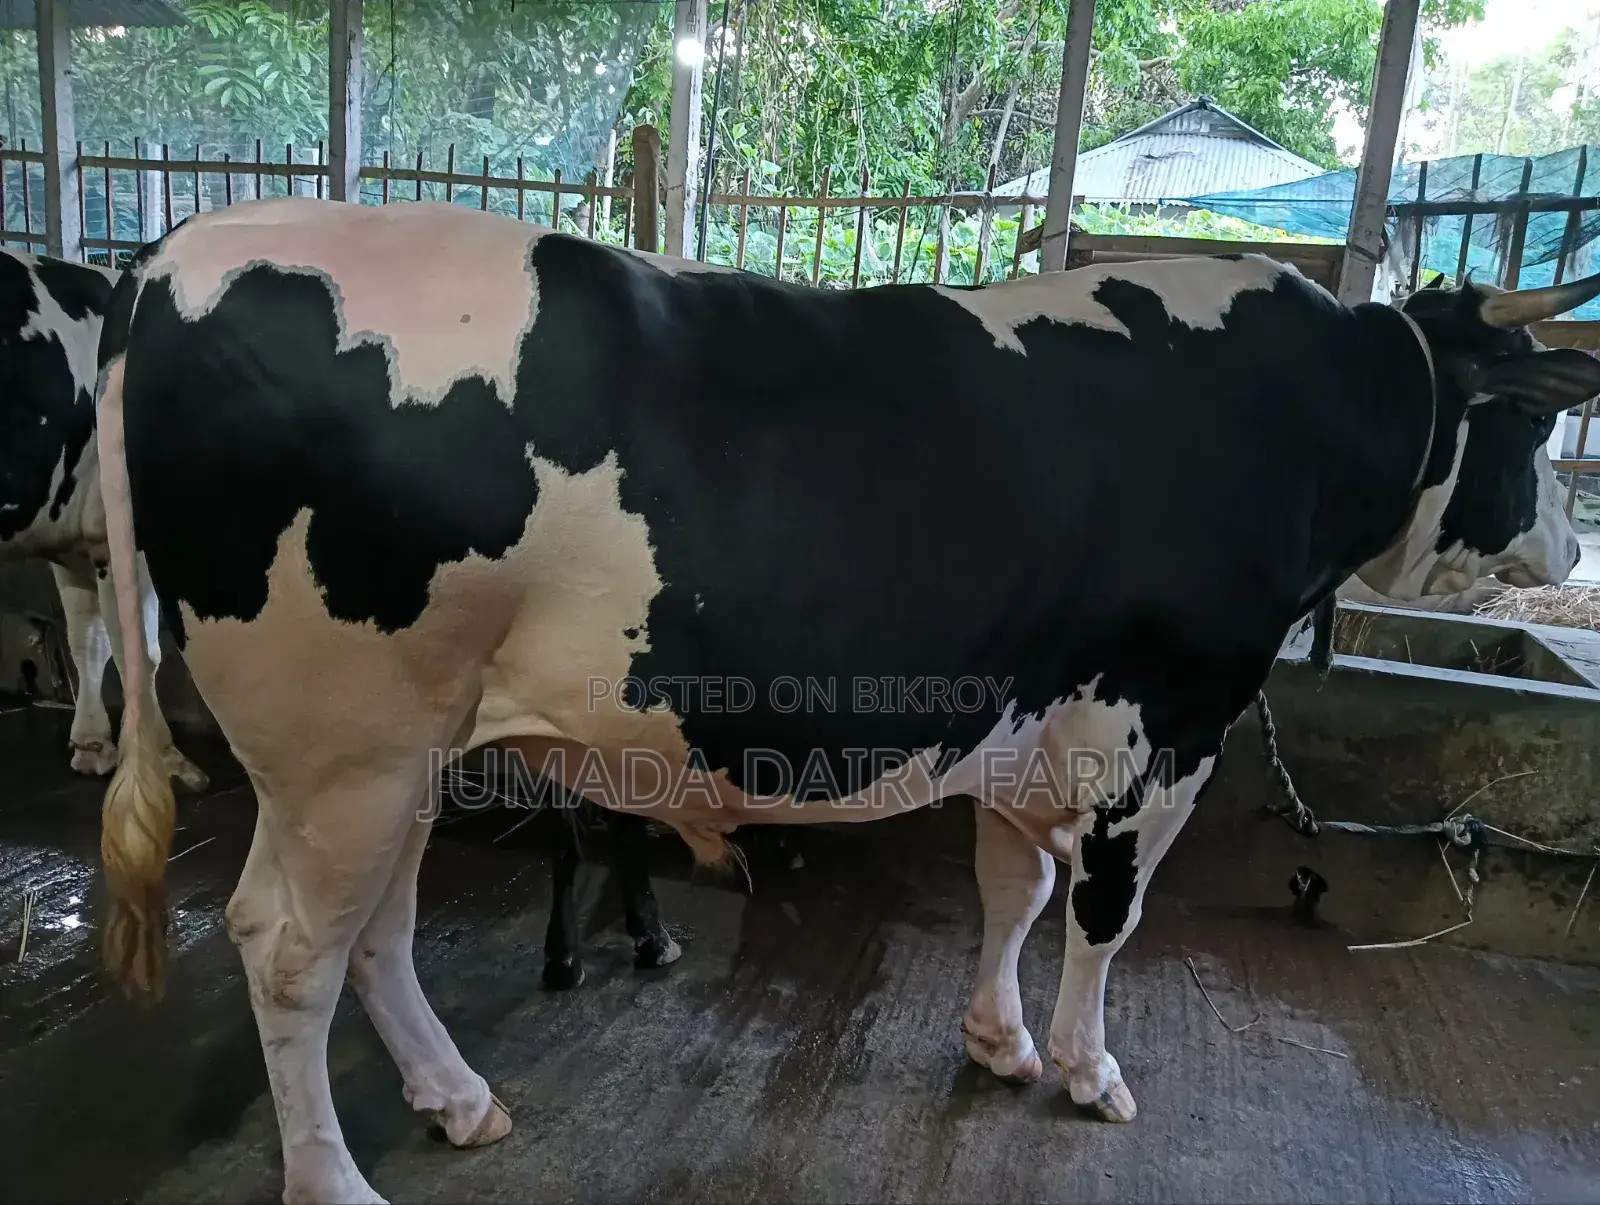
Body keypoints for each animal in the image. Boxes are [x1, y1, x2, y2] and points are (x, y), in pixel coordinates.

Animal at [0, 246, 206, 791]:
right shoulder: (128, 539)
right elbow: (140, 650)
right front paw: (163, 757)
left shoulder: (75, 536)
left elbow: (87, 641)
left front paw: (93, 743)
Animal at [90, 197, 1598, 1204]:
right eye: (1534, 423)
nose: (1570, 543)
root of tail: (176, 252)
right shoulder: (1166, 721)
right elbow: (1104, 915)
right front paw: (1088, 1069)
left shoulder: (1023, 710)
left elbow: (1011, 890)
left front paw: (997, 1039)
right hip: (337, 748)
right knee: (291, 948)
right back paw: (334, 1179)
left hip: (397, 751)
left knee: (374, 932)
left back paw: (458, 1101)